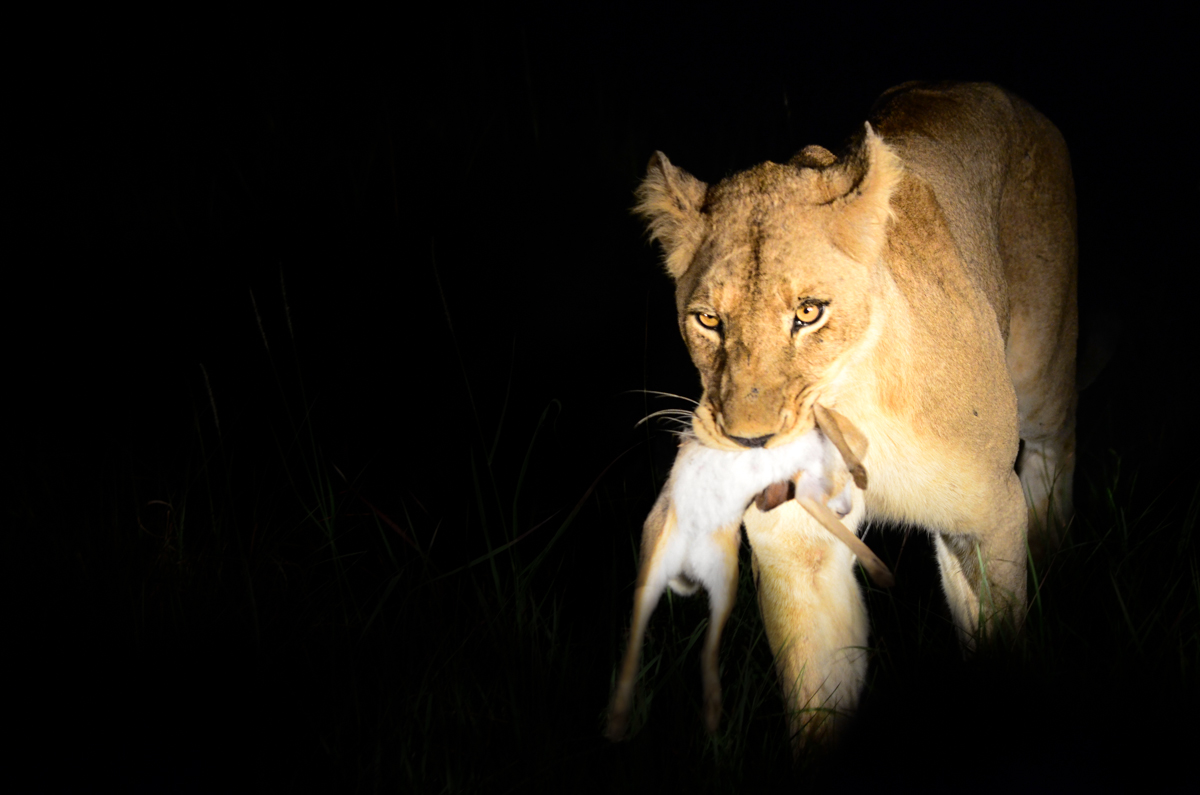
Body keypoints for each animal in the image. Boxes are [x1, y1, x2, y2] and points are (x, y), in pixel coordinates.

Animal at [623, 81, 1077, 745]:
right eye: (708, 320)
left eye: (809, 312)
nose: (750, 442)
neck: (849, 426)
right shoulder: (797, 548)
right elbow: (818, 694)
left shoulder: (989, 512)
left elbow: (997, 638)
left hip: (1043, 369)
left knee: (1055, 447)